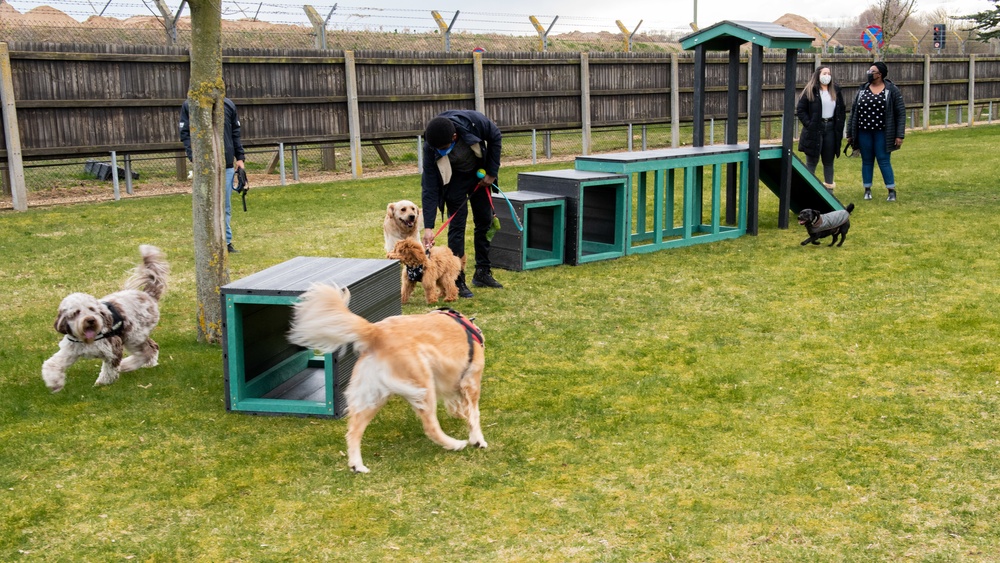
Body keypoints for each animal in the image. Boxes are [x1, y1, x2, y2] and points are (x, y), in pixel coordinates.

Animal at [41, 245, 168, 394]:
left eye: (92, 309)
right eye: (76, 312)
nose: (90, 320)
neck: (88, 340)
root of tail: (148, 295)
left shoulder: (113, 348)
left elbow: (108, 371)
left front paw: (101, 383)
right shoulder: (70, 351)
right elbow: (52, 364)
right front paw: (54, 383)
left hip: (133, 335)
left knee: (147, 351)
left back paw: (127, 365)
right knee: (152, 347)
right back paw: (149, 363)